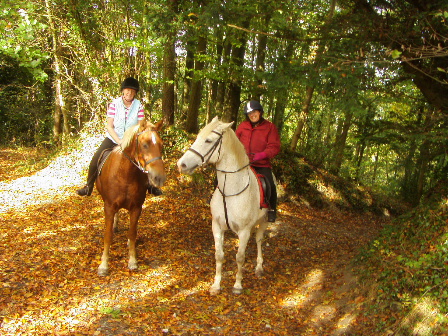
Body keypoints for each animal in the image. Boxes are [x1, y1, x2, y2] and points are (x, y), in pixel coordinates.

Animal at [95, 120, 165, 276]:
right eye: (144, 144)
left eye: (160, 144)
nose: (159, 177)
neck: (125, 174)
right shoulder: (109, 206)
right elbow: (107, 235)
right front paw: (103, 265)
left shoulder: (136, 207)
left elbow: (132, 233)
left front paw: (132, 261)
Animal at [178, 116, 270, 294]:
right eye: (198, 137)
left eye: (208, 140)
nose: (181, 164)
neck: (231, 190)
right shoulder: (217, 226)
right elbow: (219, 255)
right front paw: (216, 285)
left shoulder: (244, 231)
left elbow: (240, 257)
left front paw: (237, 285)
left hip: (263, 222)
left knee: (259, 240)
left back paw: (259, 267)